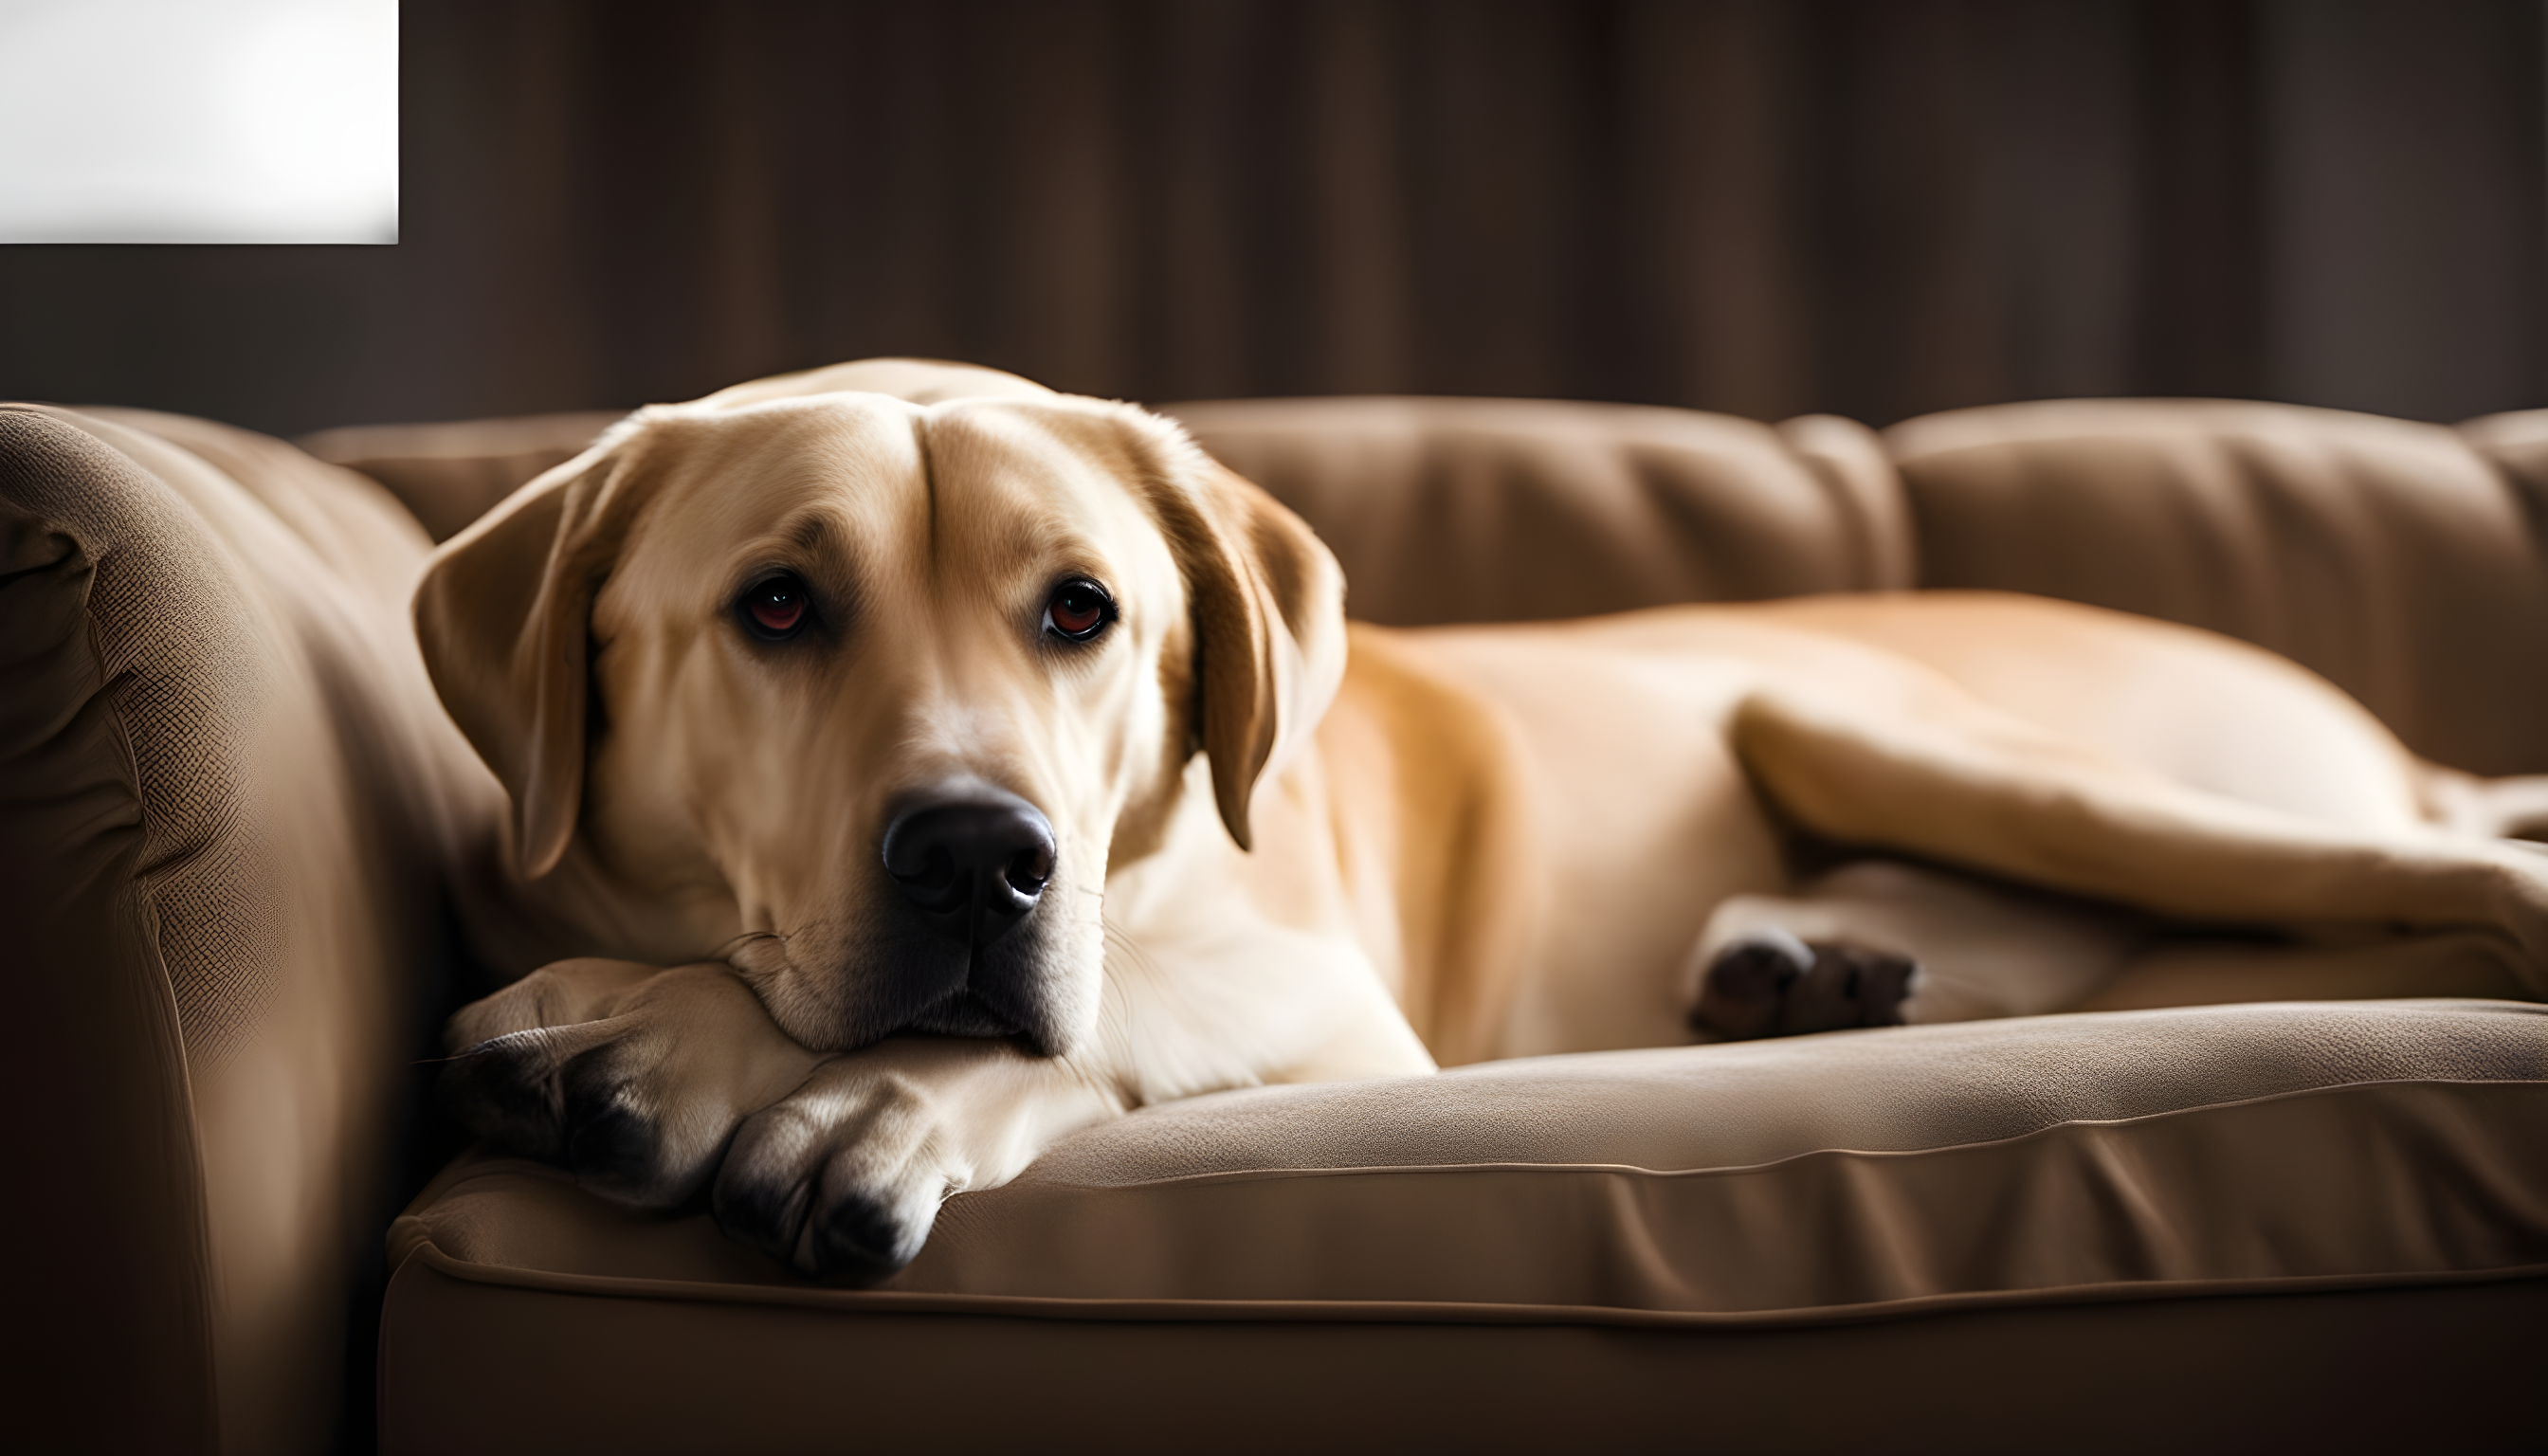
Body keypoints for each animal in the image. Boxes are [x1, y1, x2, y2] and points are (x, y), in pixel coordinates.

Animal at [417, 359, 2548, 1280]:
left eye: (1081, 612)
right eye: (777, 606)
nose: (980, 858)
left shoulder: (1337, 1009)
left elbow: (1107, 1003)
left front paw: (821, 1085)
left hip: (1928, 738)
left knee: (2439, 887)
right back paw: (1798, 964)